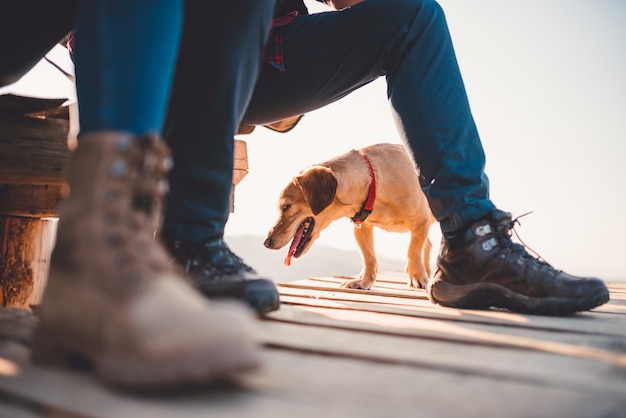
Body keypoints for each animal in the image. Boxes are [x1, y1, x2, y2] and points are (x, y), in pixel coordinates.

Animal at [260, 142, 432, 290]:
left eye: (285, 207)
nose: (266, 242)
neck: (374, 184)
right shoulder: (362, 227)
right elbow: (369, 257)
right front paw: (364, 281)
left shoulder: (421, 221)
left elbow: (412, 252)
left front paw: (416, 277)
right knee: (428, 245)